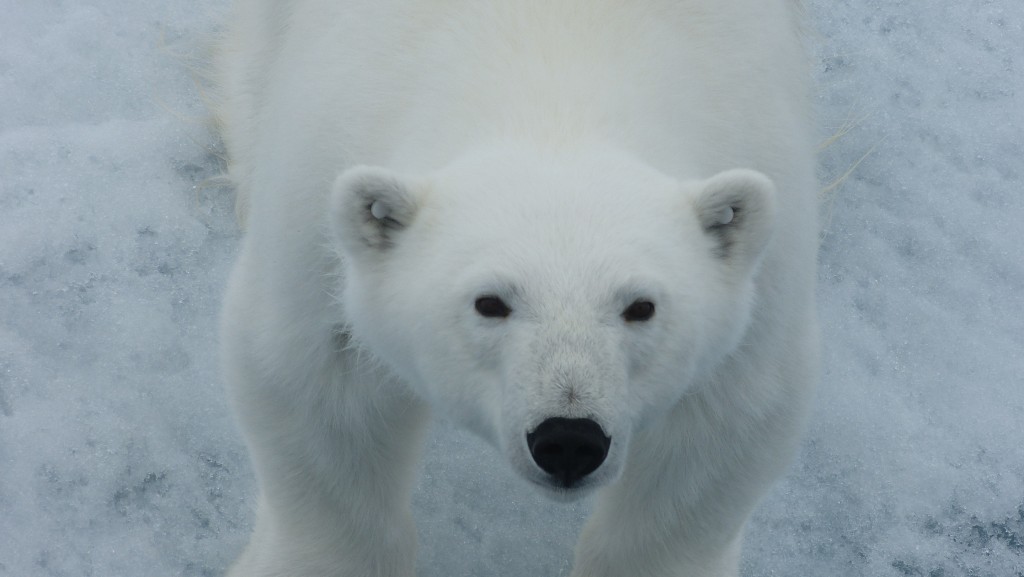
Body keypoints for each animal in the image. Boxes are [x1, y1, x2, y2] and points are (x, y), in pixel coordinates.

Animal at [214, 1, 815, 577]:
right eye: (490, 302)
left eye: (641, 307)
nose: (569, 440)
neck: (555, 88)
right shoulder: (320, 184)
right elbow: (318, 384)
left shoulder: (764, 216)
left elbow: (725, 421)